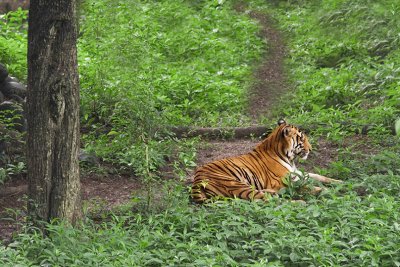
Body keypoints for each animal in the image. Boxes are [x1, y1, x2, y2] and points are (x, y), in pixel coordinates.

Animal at [191, 120, 340, 204]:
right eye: (302, 139)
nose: (311, 149)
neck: (288, 157)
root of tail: (196, 181)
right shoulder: (283, 182)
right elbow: (307, 187)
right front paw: (327, 191)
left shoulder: (296, 173)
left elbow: (319, 176)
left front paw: (340, 182)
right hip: (236, 185)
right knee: (270, 201)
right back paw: (300, 202)